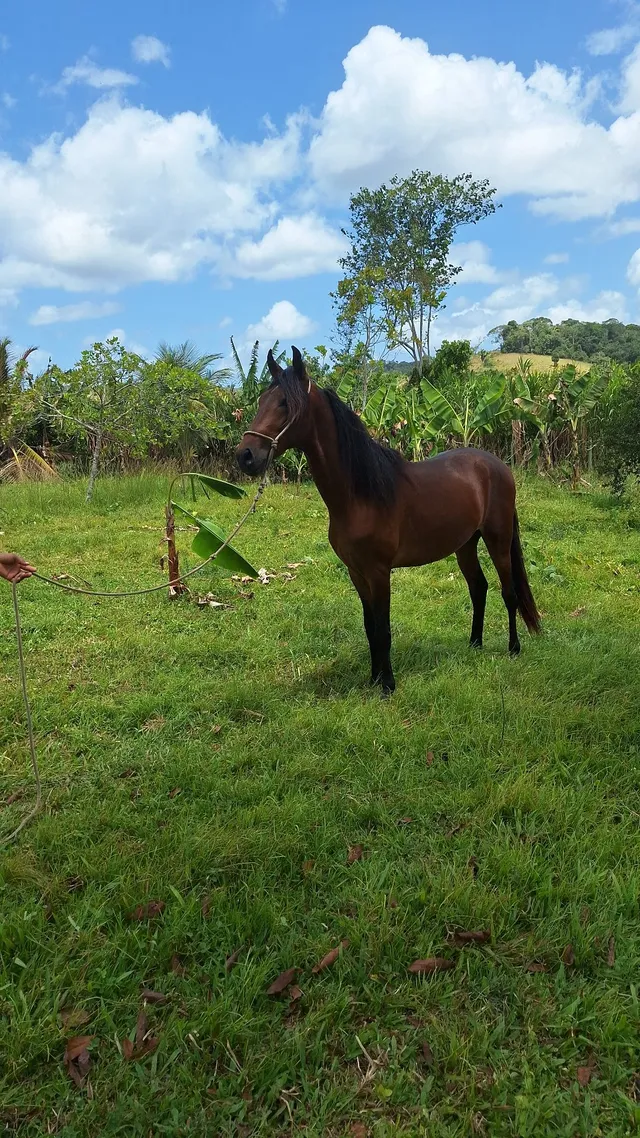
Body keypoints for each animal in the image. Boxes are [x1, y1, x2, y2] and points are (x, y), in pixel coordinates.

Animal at [235, 345, 537, 696]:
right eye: (260, 401)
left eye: (285, 403)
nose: (245, 456)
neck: (360, 496)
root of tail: (498, 466)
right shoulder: (356, 572)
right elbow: (370, 628)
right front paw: (374, 678)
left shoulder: (379, 573)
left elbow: (384, 629)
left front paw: (388, 685)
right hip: (465, 545)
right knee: (479, 587)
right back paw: (474, 644)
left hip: (497, 539)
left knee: (508, 592)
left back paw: (514, 648)